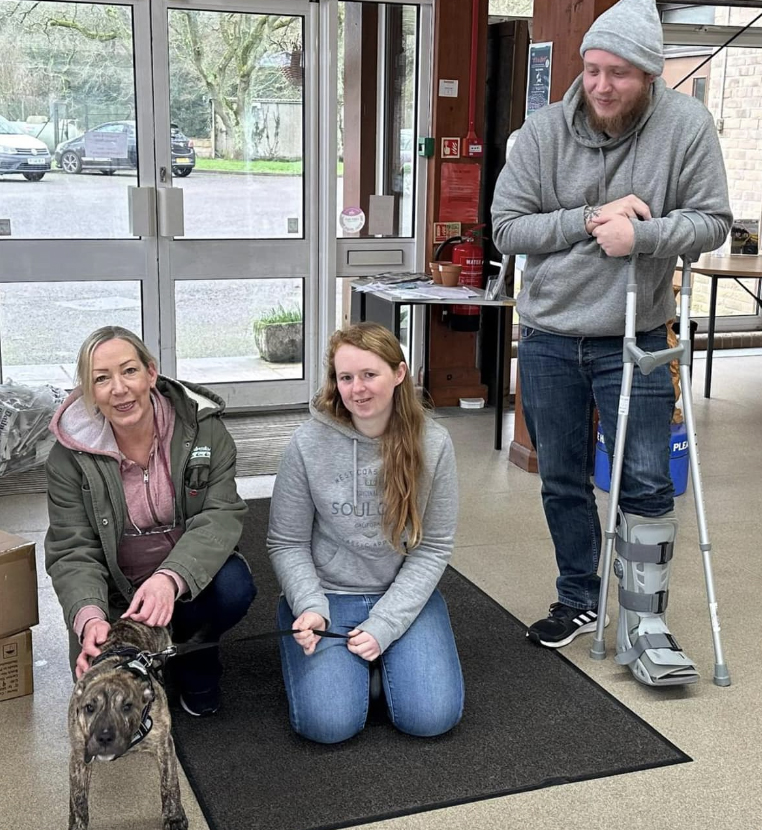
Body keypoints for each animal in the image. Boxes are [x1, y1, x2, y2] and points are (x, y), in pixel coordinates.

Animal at [67, 620, 188, 830]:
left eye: (127, 707)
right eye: (89, 707)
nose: (104, 737)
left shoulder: (164, 744)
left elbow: (170, 783)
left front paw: (174, 817)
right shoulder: (79, 755)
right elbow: (78, 797)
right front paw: (78, 824)